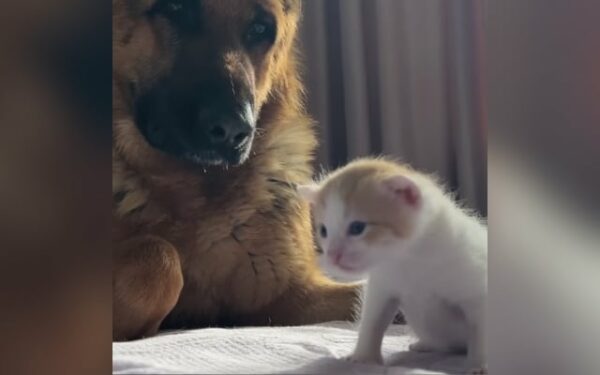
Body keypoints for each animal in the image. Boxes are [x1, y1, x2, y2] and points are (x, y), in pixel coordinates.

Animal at [112, 0, 358, 340]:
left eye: (260, 29)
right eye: (175, 7)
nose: (234, 131)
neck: (191, 186)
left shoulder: (295, 297)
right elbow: (159, 256)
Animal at [298, 158, 488, 374]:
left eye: (357, 228)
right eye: (323, 231)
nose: (333, 256)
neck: (408, 259)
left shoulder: (478, 288)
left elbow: (482, 329)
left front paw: (480, 365)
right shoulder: (382, 286)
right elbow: (372, 321)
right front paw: (363, 358)